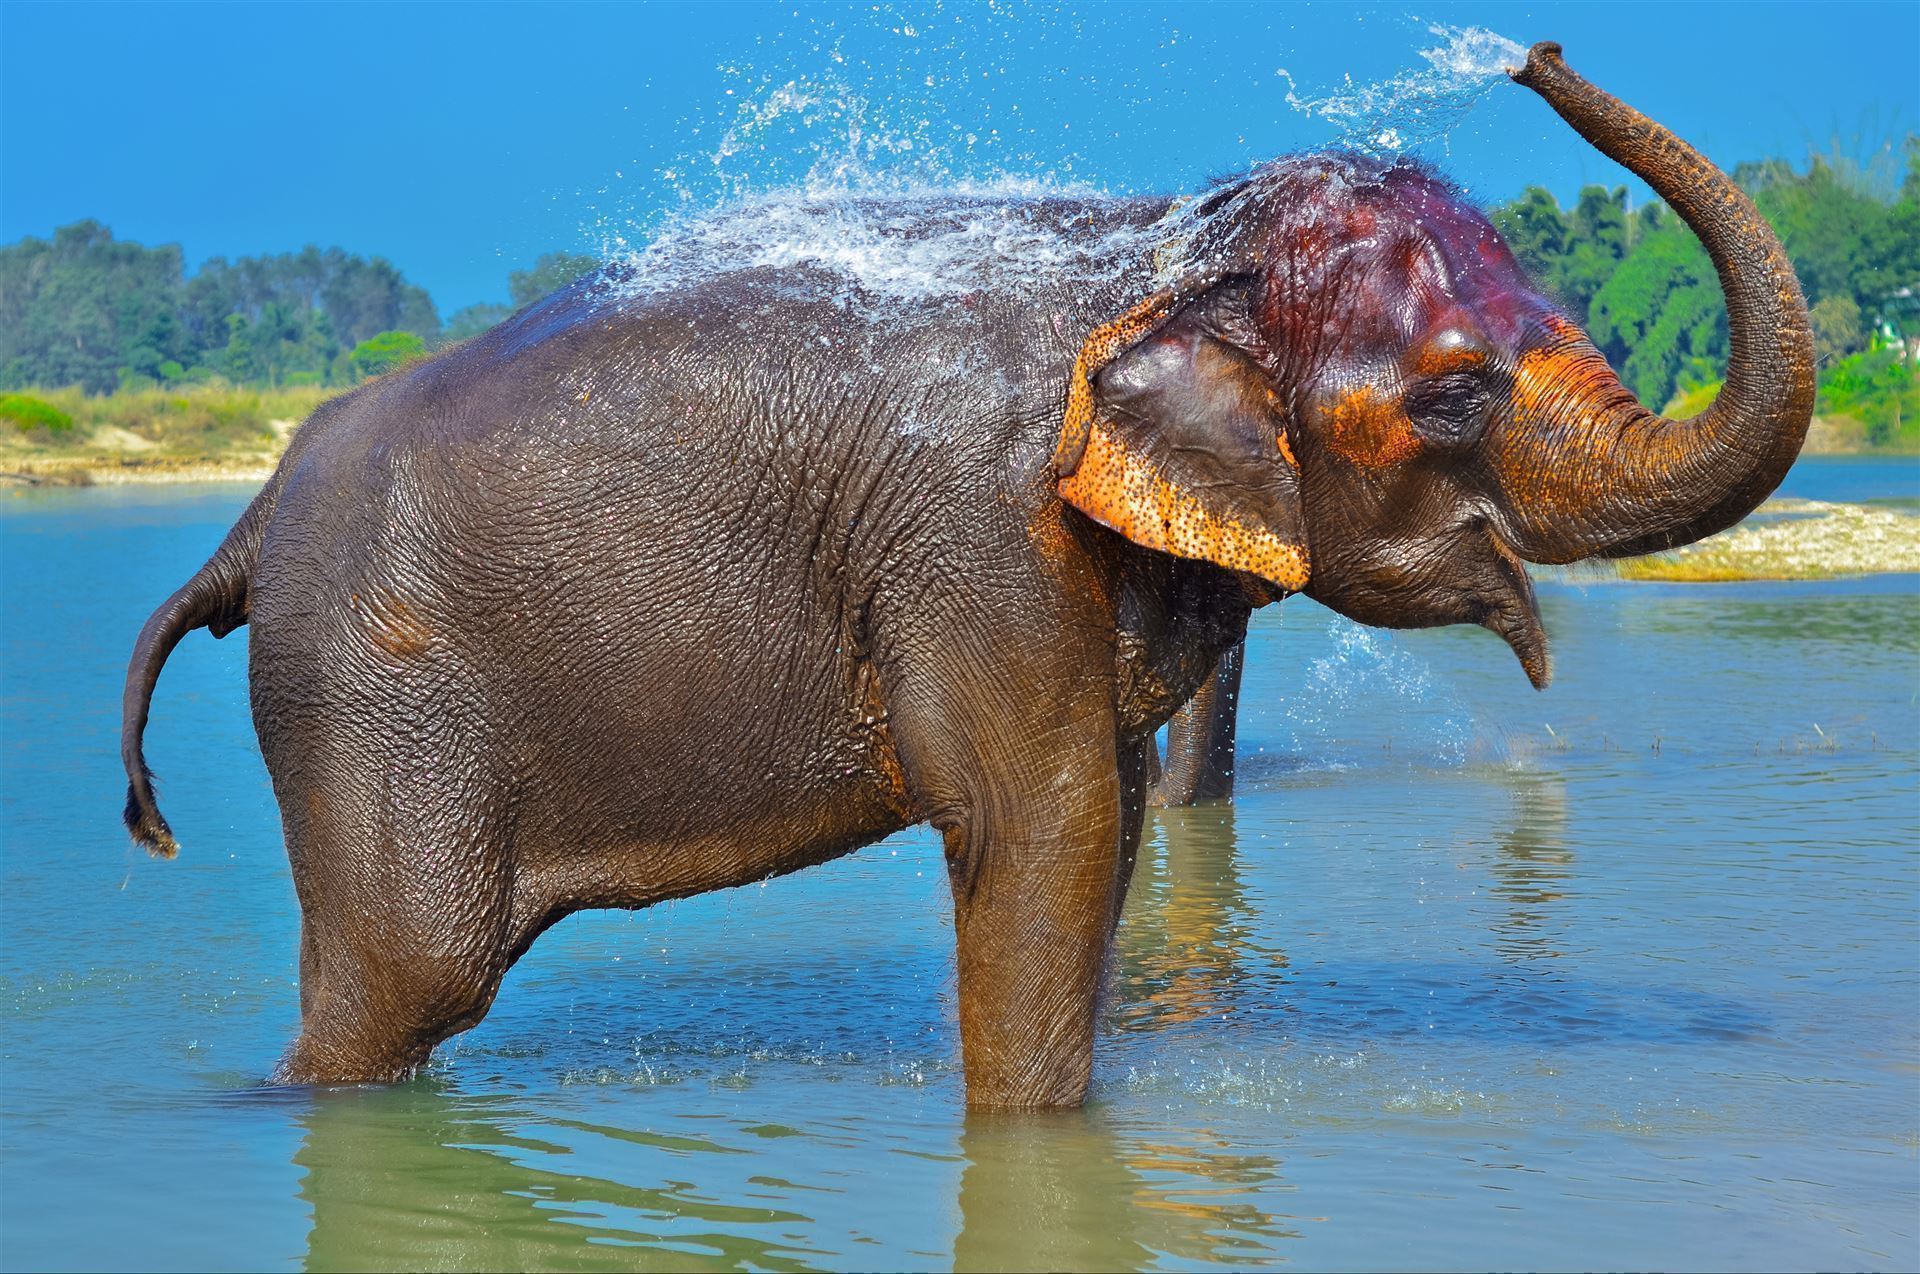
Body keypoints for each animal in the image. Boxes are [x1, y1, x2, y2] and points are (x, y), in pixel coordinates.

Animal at [121, 44, 1812, 1109]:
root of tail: (248, 525)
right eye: (1456, 396)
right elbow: (1040, 822)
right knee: (413, 974)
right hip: (370, 695)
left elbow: (1103, 823)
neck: (1157, 248)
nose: (1527, 50)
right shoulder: (978, 538)